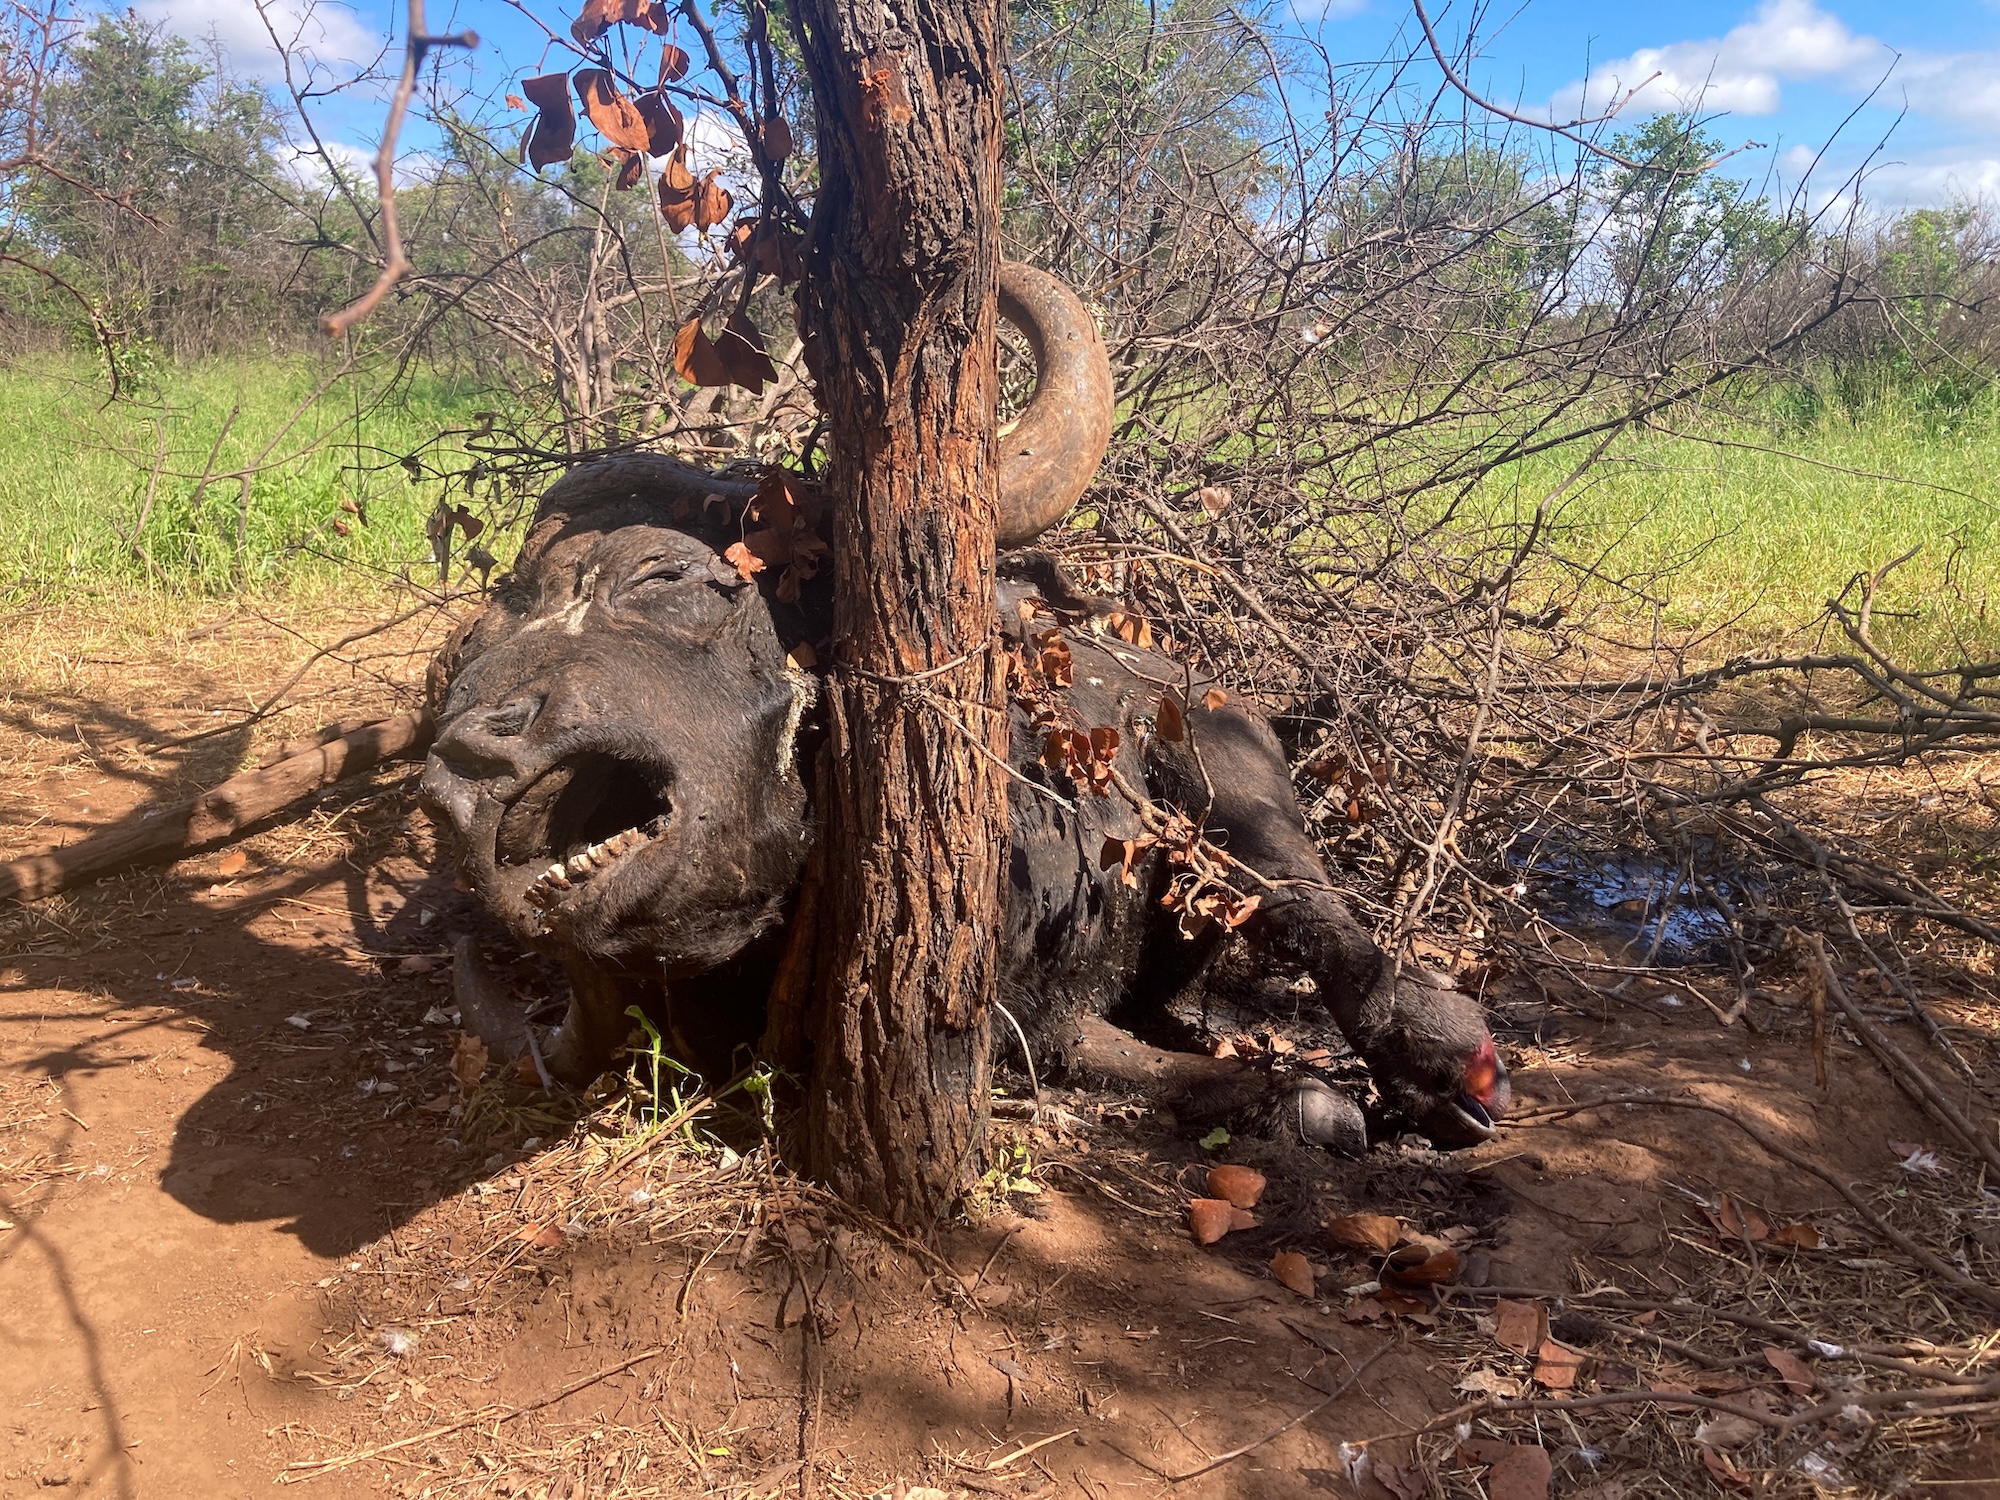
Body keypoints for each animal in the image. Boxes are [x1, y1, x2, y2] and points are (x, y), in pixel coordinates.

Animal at [426, 262, 1512, 1152]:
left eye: (662, 577)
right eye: (478, 642)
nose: (471, 766)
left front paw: (1326, 1093)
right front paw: (1289, 1095)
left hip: (1232, 773)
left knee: (1303, 904)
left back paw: (1443, 1063)